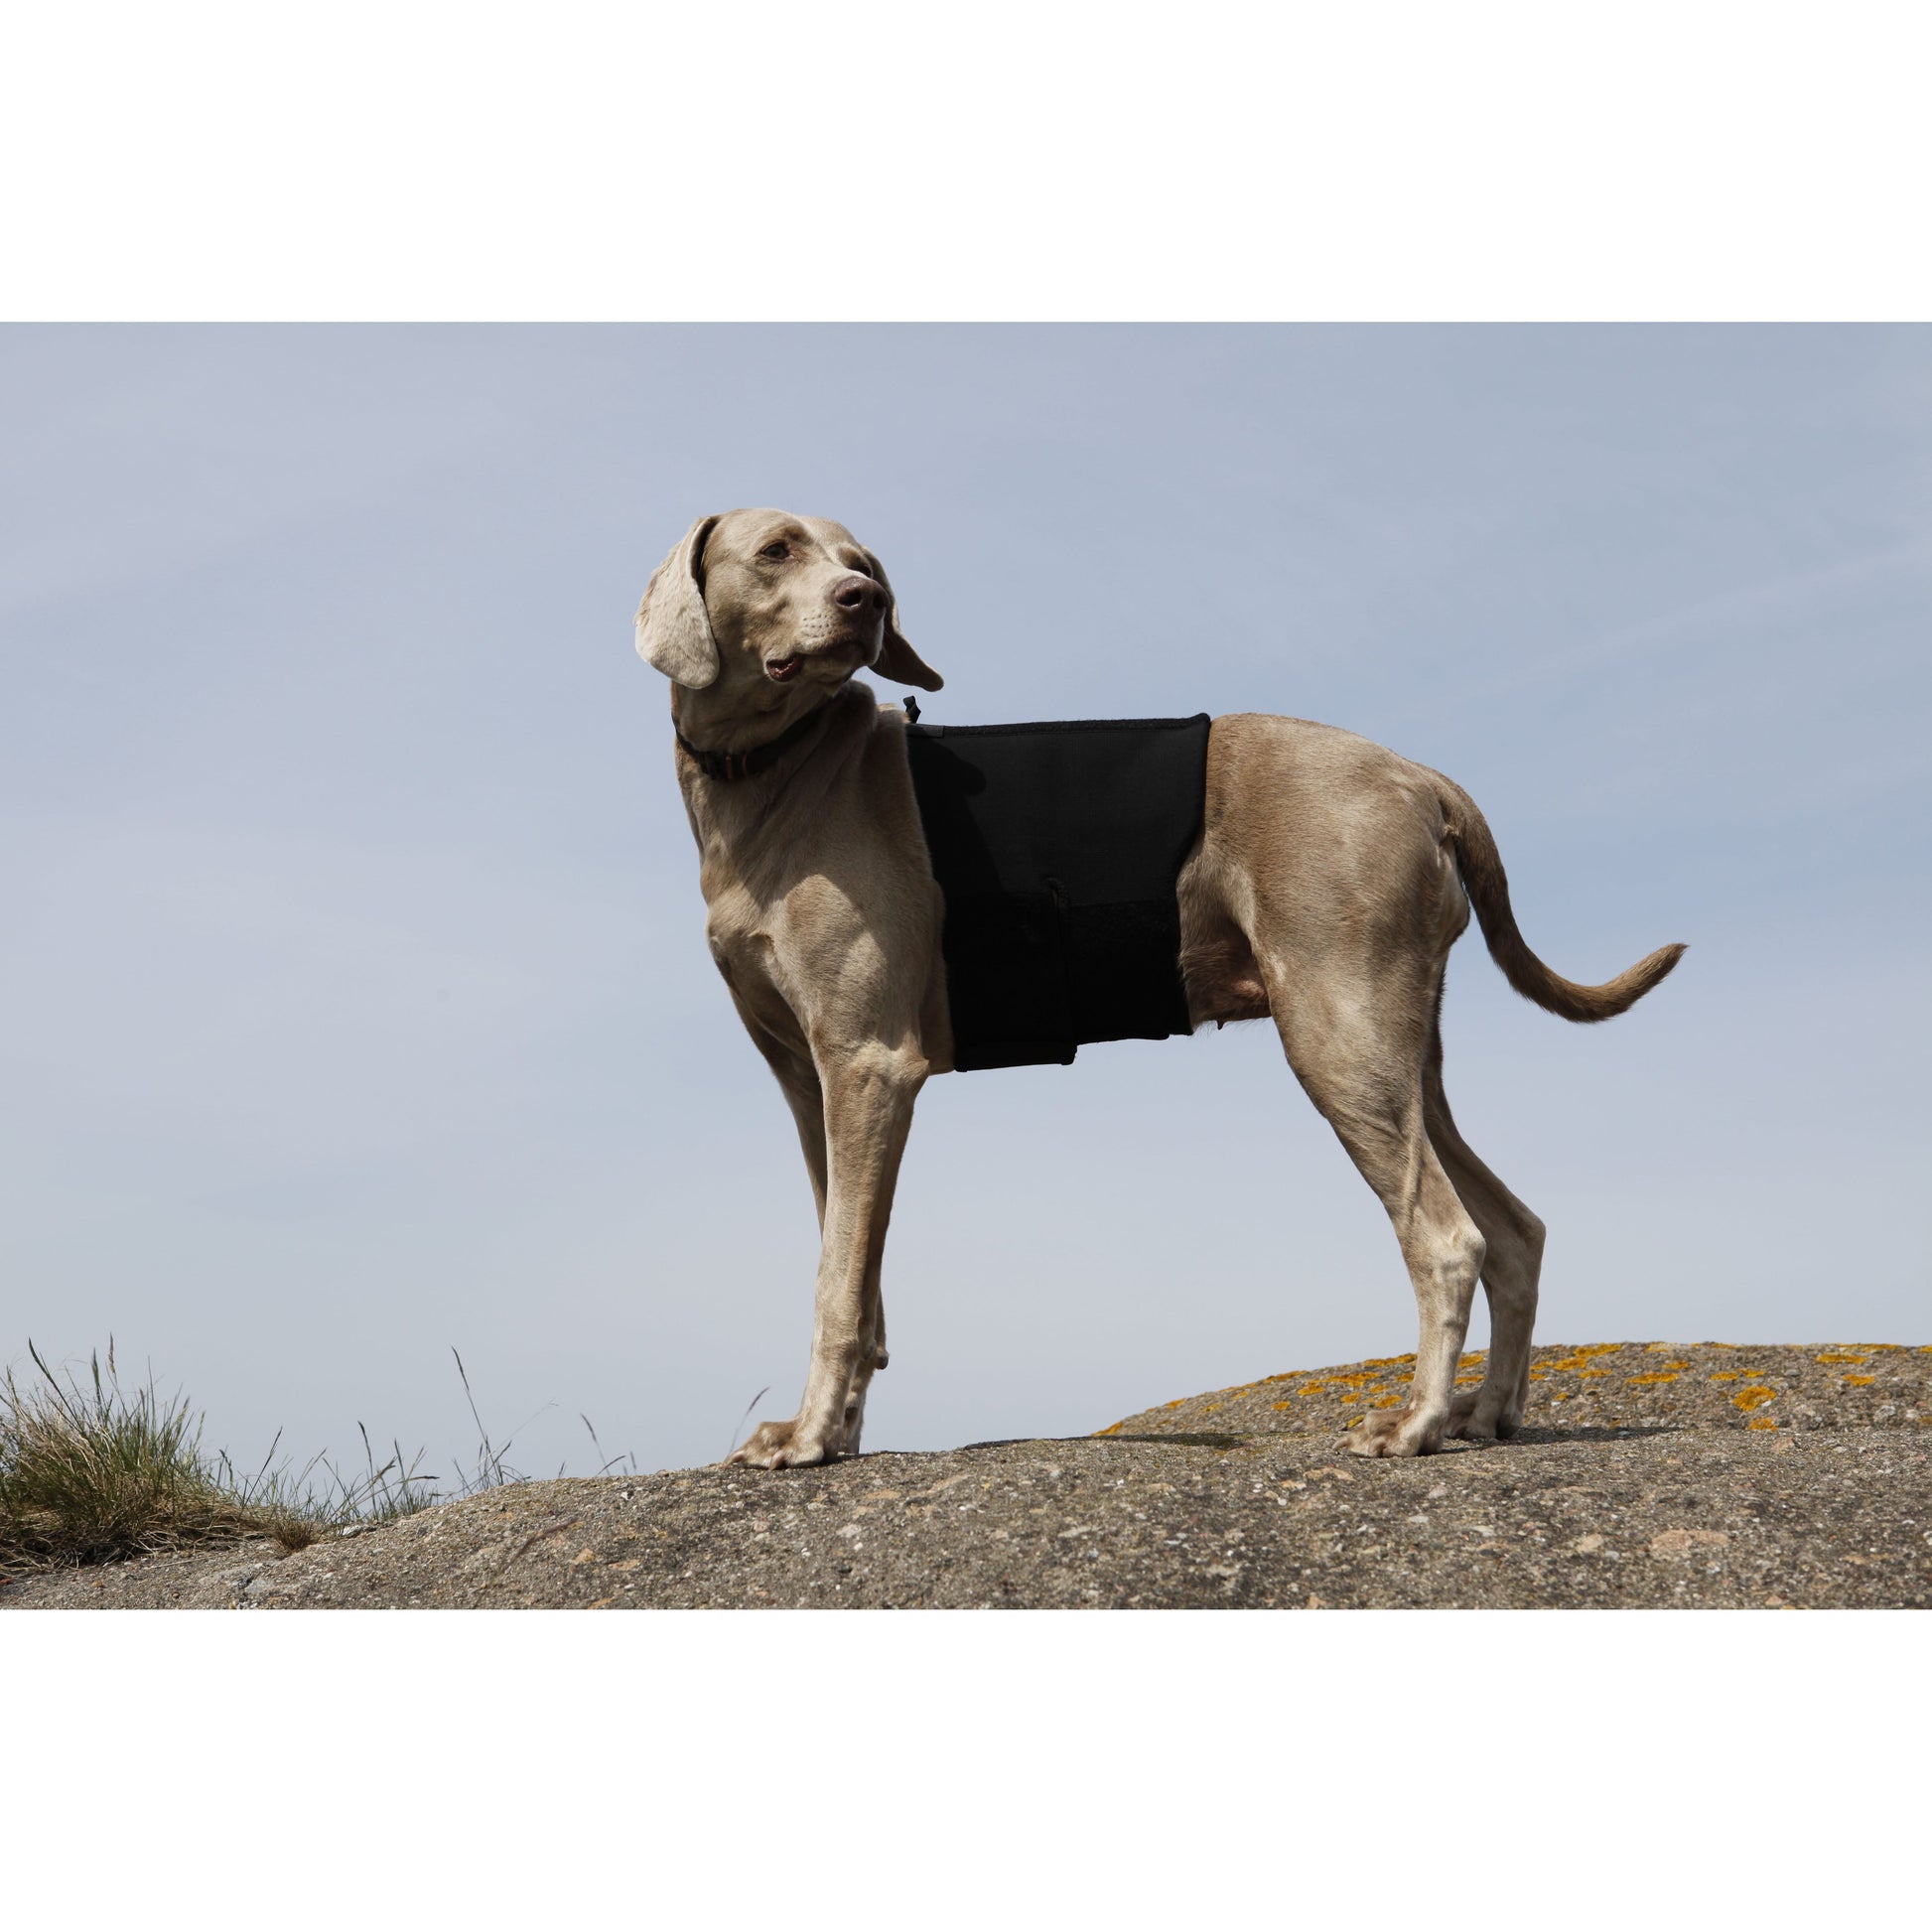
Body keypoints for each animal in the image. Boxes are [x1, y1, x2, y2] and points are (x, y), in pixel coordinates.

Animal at [633, 509, 1677, 1460]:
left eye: (864, 564)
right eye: (778, 550)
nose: (867, 603)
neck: (779, 773)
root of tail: (1421, 780)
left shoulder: (867, 1063)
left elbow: (836, 1281)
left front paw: (811, 1439)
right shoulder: (810, 1082)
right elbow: (854, 1262)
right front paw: (840, 1430)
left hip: (1338, 1033)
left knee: (1449, 1236)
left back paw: (1415, 1423)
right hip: (1400, 1049)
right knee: (1517, 1230)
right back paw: (1487, 1416)